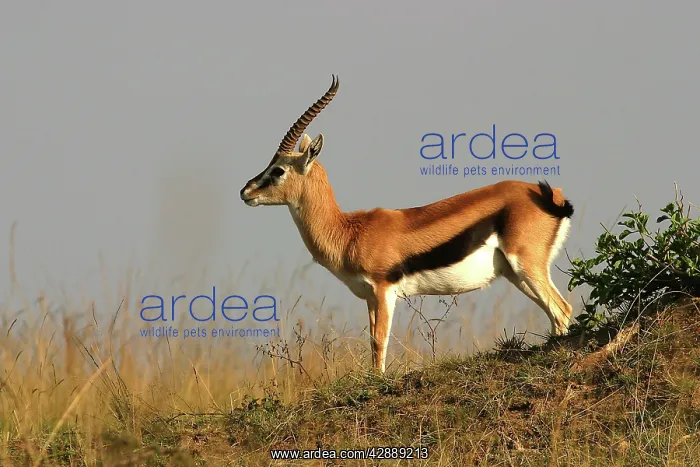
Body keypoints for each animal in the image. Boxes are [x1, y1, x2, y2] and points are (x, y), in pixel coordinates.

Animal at [240, 75, 575, 373]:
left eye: (278, 170)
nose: (245, 191)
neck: (349, 231)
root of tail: (551, 196)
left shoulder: (384, 290)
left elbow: (379, 342)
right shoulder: (369, 297)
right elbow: (372, 341)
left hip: (526, 265)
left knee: (562, 309)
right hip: (516, 275)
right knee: (555, 314)